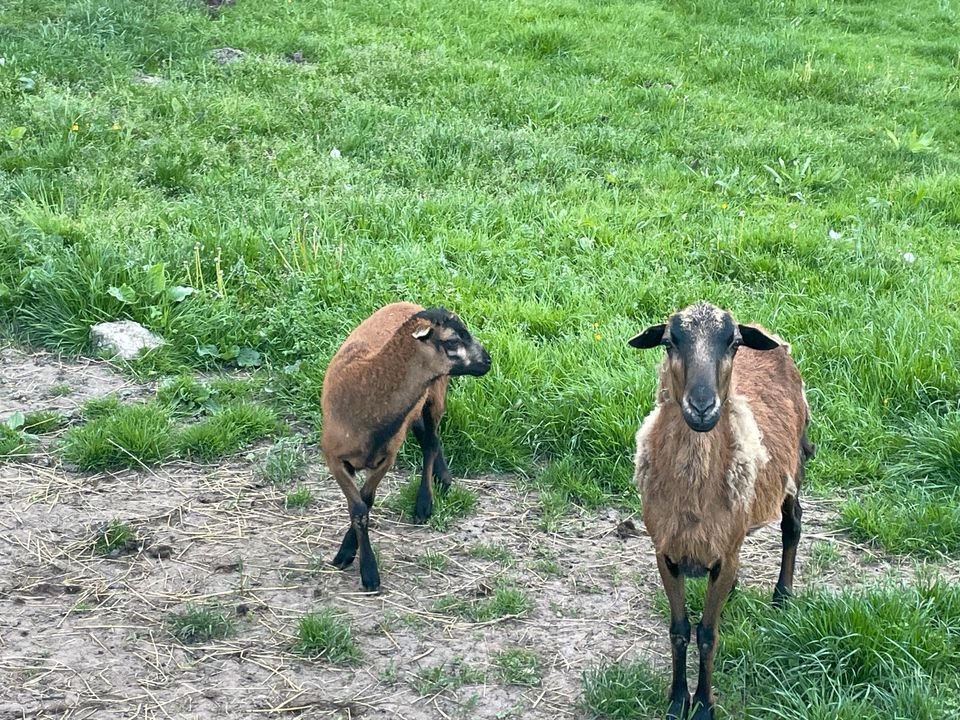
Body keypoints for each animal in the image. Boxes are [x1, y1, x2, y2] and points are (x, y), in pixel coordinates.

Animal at [320, 300, 488, 588]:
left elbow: (366, 502)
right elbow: (359, 508)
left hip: (435, 394)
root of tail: (408, 303)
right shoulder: (332, 456)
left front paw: (361, 563)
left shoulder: (387, 457)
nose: (488, 361)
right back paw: (444, 480)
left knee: (430, 443)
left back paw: (424, 503)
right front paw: (352, 560)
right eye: (452, 340)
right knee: (428, 439)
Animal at [632, 302, 808, 720]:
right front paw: (677, 700)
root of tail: (763, 328)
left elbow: (707, 635)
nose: (702, 407)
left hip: (792, 471)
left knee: (792, 526)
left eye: (733, 343)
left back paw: (782, 596)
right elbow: (680, 630)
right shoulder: (666, 552)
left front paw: (702, 706)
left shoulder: (723, 556)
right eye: (669, 342)